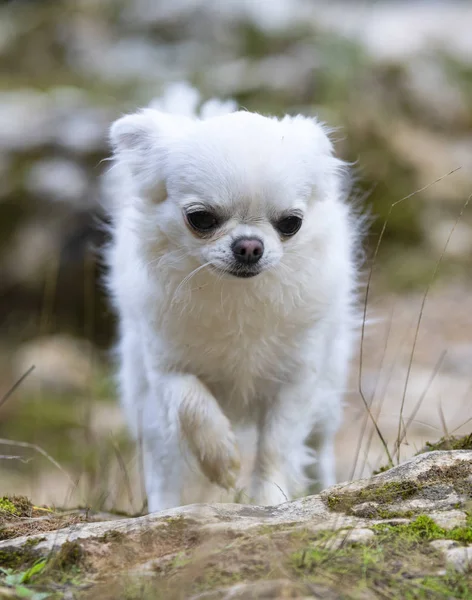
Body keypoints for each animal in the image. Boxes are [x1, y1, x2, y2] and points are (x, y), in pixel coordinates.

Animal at [105, 84, 360, 512]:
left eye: (291, 223)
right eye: (201, 218)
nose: (250, 246)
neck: (238, 297)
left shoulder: (297, 378)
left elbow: (276, 446)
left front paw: (270, 500)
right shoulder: (166, 368)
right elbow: (192, 405)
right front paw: (221, 461)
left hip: (328, 392)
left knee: (320, 447)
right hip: (148, 409)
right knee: (163, 466)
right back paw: (165, 510)